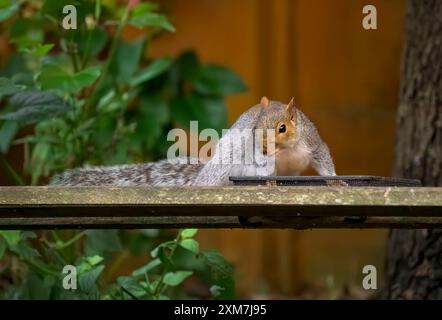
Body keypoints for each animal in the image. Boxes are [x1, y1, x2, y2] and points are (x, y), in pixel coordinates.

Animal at [50, 97, 336, 188]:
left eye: (282, 128)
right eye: (255, 128)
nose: (264, 147)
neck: (283, 153)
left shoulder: (311, 141)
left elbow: (323, 157)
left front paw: (335, 181)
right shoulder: (261, 158)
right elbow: (265, 170)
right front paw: (269, 182)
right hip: (225, 161)